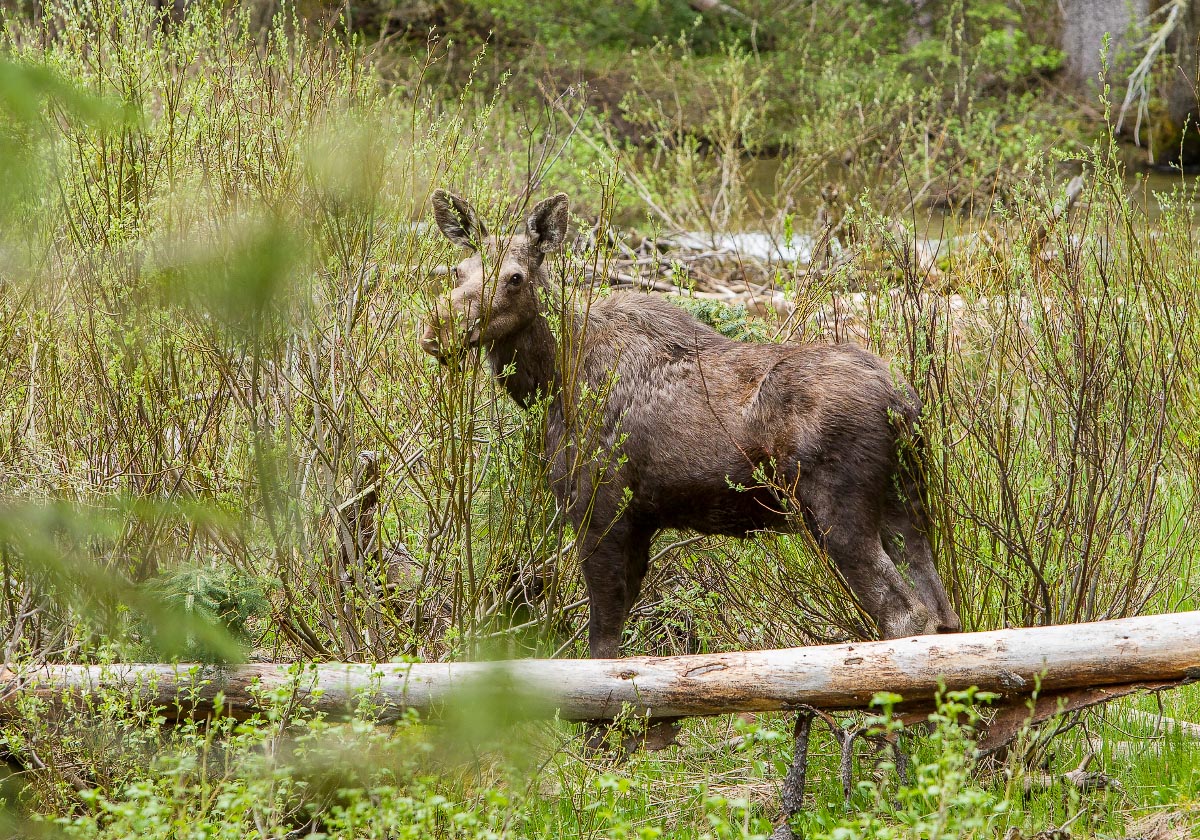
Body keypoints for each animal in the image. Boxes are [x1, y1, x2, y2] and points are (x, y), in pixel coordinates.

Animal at [424, 192, 964, 662]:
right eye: (457, 270)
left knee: (906, 616)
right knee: (944, 614)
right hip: (905, 502)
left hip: (837, 509)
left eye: (514, 277)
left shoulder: (600, 507)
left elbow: (603, 644)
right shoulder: (640, 520)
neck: (551, 380)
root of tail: (903, 403)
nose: (434, 327)